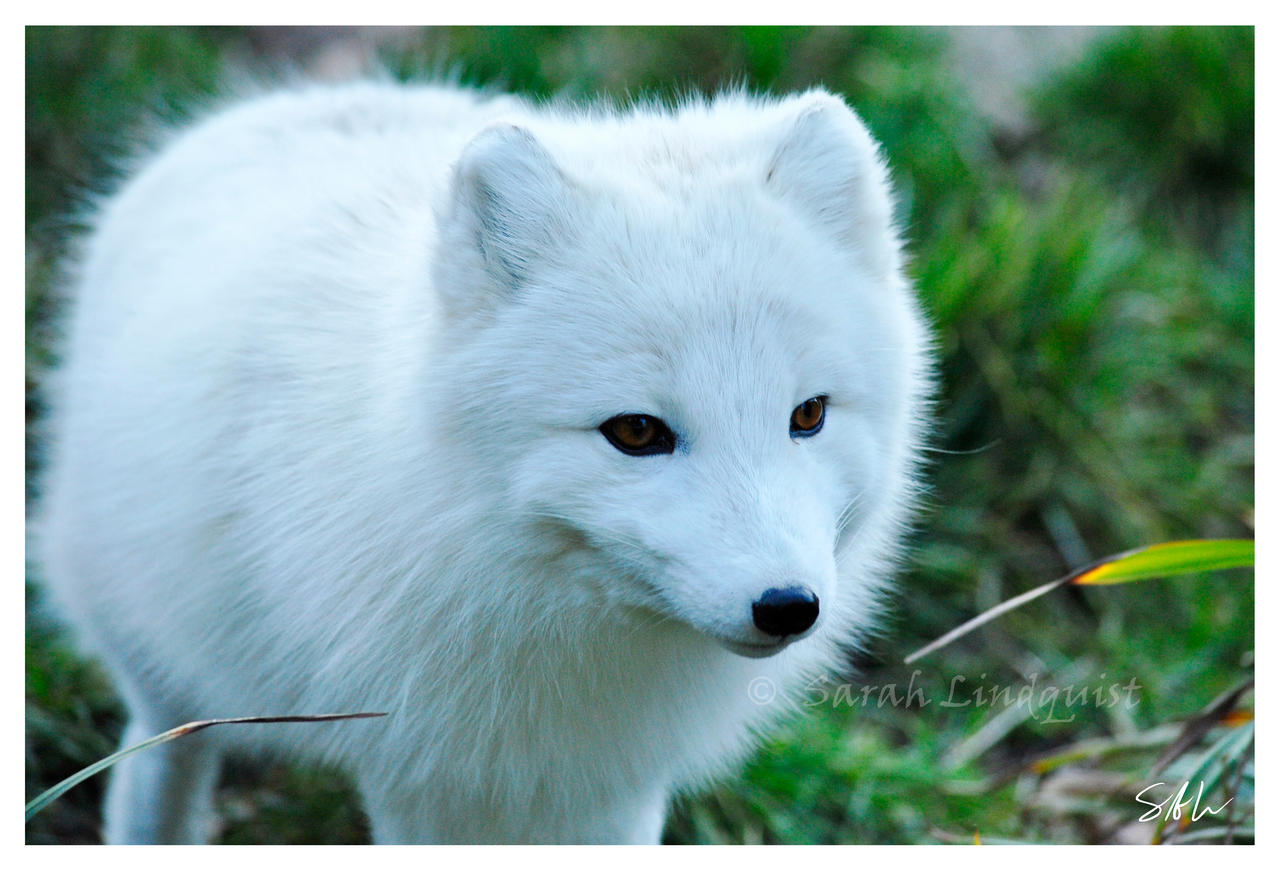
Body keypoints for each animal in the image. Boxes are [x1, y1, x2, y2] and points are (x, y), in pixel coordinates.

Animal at [32, 81, 931, 845]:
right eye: (637, 432)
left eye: (807, 415)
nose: (787, 606)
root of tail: (293, 100)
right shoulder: (420, 771)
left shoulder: (615, 782)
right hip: (159, 667)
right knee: (160, 759)